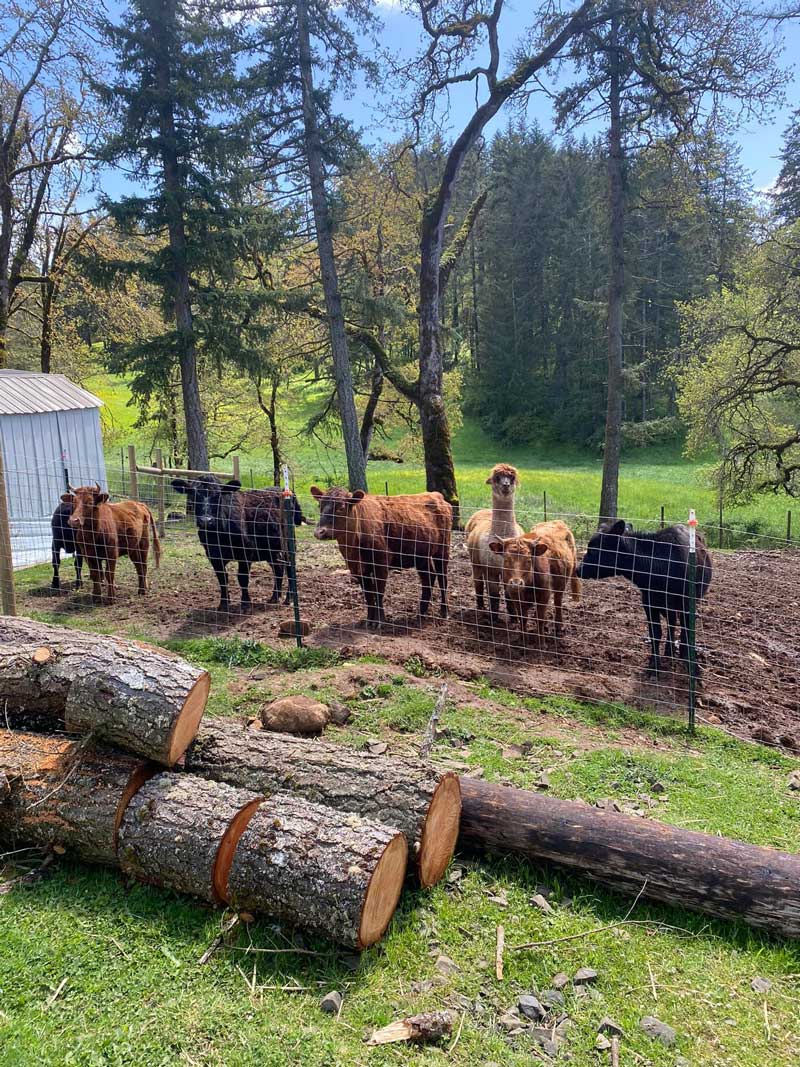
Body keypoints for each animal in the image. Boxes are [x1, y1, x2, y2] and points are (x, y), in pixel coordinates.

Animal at [170, 478, 305, 618]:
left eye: (218, 496)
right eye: (193, 495)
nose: (206, 521)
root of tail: (283, 490)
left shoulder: (246, 553)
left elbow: (242, 578)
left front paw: (245, 605)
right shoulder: (213, 556)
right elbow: (222, 578)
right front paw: (223, 604)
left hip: (288, 544)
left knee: (289, 567)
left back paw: (288, 598)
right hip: (271, 549)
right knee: (278, 568)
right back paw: (274, 597)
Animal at [309, 484, 454, 623]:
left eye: (341, 507)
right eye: (320, 506)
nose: (319, 532)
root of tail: (436, 495)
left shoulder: (381, 563)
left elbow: (378, 591)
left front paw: (379, 620)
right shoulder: (358, 569)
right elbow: (368, 594)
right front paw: (369, 620)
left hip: (442, 550)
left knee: (442, 578)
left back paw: (445, 612)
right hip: (421, 555)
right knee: (428, 578)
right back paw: (421, 613)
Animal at [576, 518, 712, 674]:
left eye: (593, 550)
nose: (578, 569)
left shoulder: (688, 603)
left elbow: (688, 632)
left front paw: (691, 665)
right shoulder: (648, 602)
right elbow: (655, 633)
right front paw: (654, 665)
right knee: (672, 623)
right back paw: (669, 651)